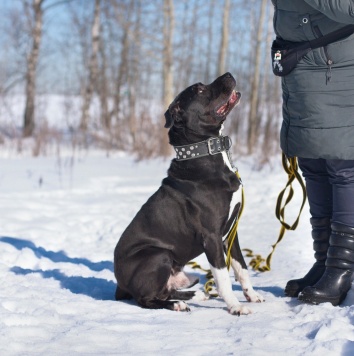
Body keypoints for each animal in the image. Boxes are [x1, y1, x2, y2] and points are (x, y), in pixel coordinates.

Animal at [113, 72, 262, 314]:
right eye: (199, 90)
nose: (229, 74)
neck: (204, 152)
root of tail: (120, 284)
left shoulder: (231, 233)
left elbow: (241, 268)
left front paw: (252, 295)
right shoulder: (211, 236)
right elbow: (223, 278)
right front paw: (235, 306)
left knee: (167, 289)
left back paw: (197, 295)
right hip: (158, 255)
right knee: (147, 299)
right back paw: (178, 305)